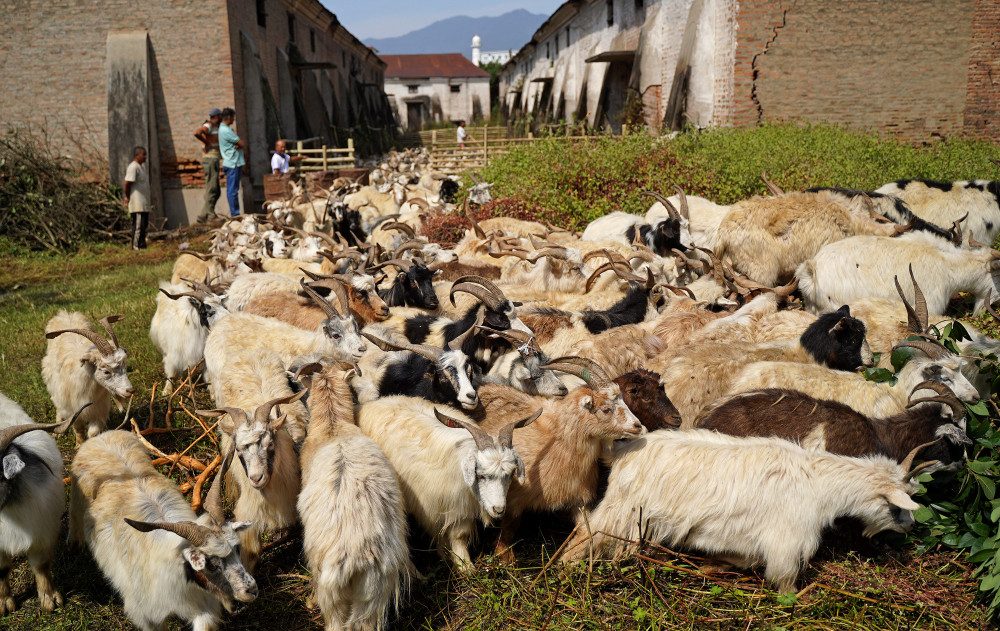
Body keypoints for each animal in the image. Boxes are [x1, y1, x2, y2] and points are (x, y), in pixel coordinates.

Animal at [42, 312, 133, 444]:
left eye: (125, 366)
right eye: (106, 371)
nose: (130, 391)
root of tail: (65, 314)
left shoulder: (98, 410)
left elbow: (93, 432)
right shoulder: (72, 410)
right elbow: (78, 429)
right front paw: (79, 445)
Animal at [70, 434, 256, 631]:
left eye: (237, 549)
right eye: (211, 565)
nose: (251, 590)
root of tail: (100, 437)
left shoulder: (204, 607)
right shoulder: (147, 616)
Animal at [356, 398, 536, 572]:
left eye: (510, 474)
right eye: (480, 474)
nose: (498, 509)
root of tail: (372, 404)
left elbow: (459, 536)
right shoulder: (439, 509)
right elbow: (454, 536)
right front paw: (464, 566)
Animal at [564, 430, 928, 592]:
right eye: (897, 507)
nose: (910, 527)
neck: (819, 482)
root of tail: (622, 451)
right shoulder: (788, 540)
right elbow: (784, 581)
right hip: (622, 510)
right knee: (586, 532)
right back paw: (566, 569)